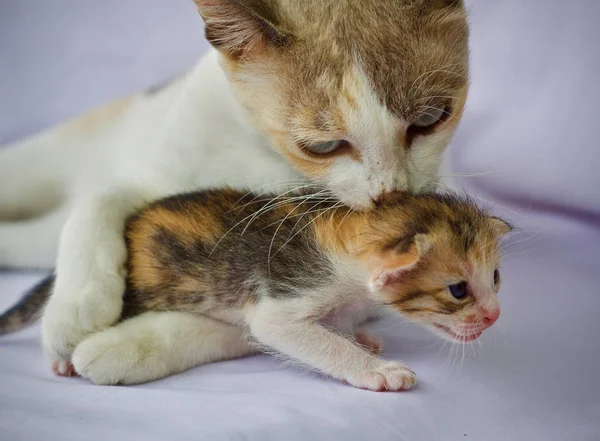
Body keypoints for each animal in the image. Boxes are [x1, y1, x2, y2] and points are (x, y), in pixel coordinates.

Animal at [0, 0, 468, 372]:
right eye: (322, 146)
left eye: (430, 119)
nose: (392, 193)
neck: (265, 156)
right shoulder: (160, 181)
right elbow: (100, 199)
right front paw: (75, 310)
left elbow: (246, 324)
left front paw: (124, 347)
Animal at [0, 188, 508, 388]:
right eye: (458, 290)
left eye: (496, 278)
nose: (495, 316)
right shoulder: (286, 291)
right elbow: (290, 331)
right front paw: (374, 369)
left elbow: (337, 324)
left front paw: (357, 335)